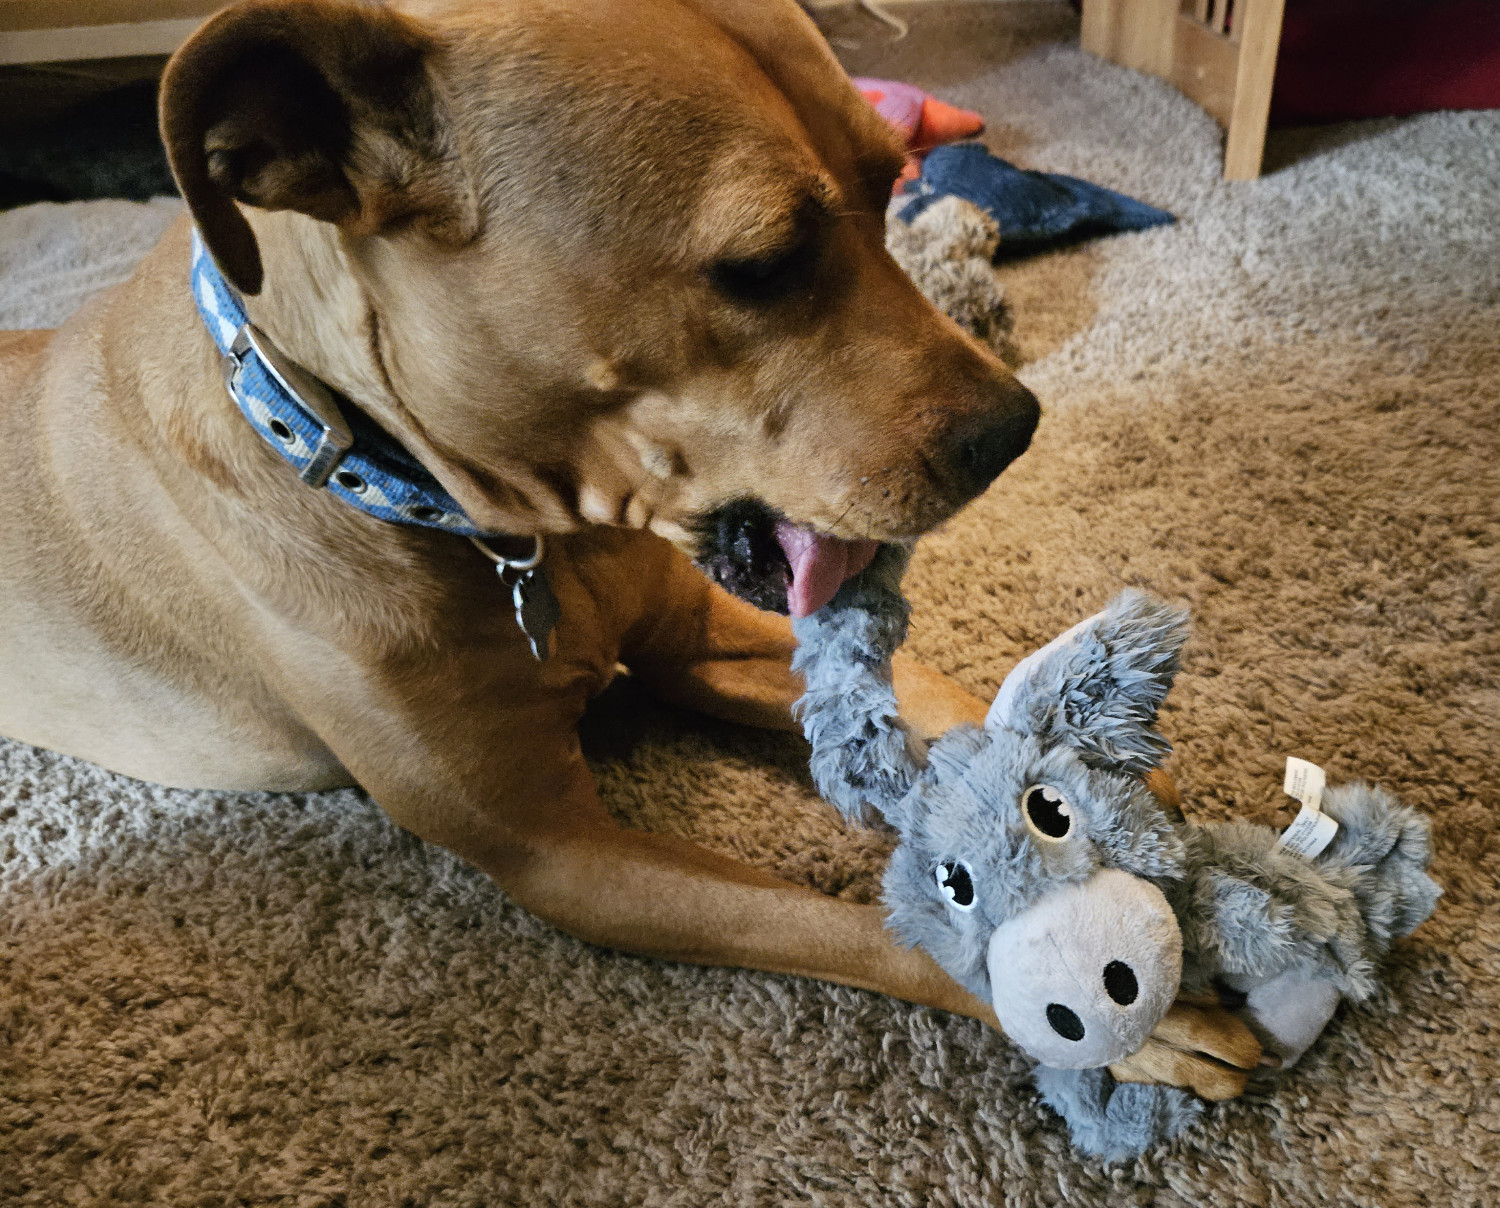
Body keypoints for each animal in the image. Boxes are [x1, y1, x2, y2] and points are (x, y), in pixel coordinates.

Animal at [0, 0, 1266, 1092]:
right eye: (761, 265)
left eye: (892, 182)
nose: (1017, 430)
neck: (522, 541)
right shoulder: (563, 858)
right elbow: (856, 928)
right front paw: (1096, 1007)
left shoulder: (707, 638)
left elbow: (945, 697)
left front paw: (1122, 800)